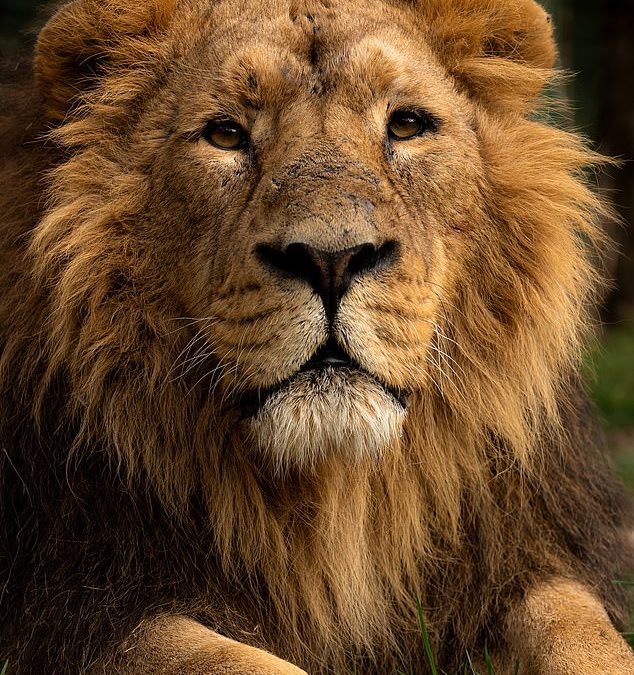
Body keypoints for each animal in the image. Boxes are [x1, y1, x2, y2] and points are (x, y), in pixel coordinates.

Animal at [0, 0, 632, 672]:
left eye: (406, 124)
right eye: (226, 134)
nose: (331, 260)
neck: (337, 502)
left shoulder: (525, 557)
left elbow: (584, 634)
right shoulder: (80, 608)